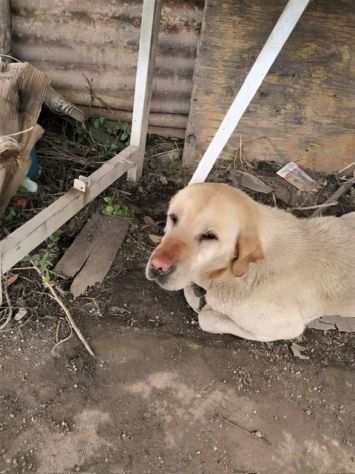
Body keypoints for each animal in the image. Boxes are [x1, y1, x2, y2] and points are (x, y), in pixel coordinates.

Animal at [145, 181, 355, 340]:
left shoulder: (285, 326)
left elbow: (206, 318)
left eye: (210, 236)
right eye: (173, 218)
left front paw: (206, 305)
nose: (157, 266)